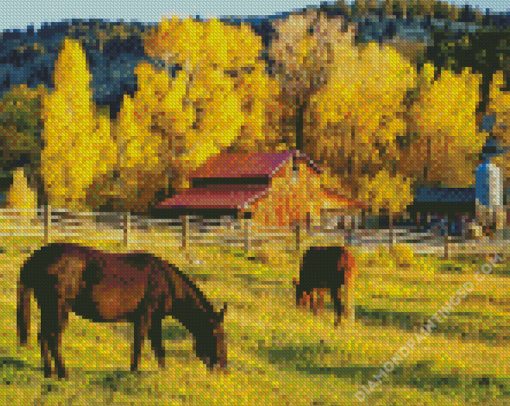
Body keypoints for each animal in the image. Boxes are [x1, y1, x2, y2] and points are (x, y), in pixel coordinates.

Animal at [17, 243, 227, 380]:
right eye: (217, 335)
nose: (224, 368)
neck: (166, 281)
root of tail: (37, 257)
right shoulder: (144, 317)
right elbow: (140, 345)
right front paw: (134, 372)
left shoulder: (154, 320)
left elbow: (158, 348)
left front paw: (163, 373)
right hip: (59, 308)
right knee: (53, 337)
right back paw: (62, 373)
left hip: (48, 308)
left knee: (43, 336)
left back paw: (48, 372)